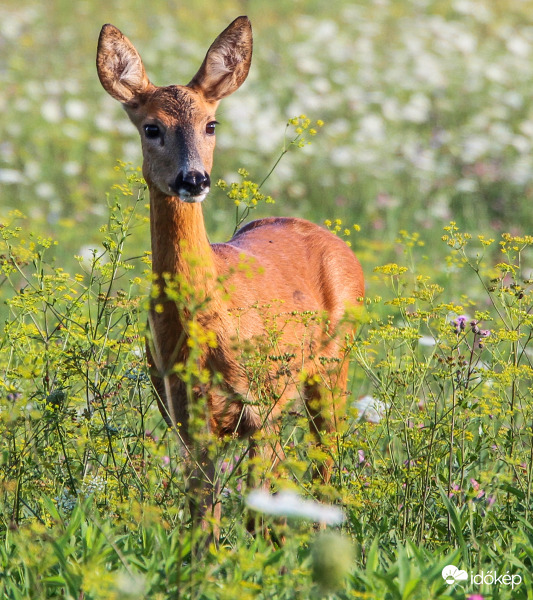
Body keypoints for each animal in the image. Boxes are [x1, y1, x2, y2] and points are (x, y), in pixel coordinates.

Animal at [95, 16, 364, 536]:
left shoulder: (260, 406)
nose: (194, 179)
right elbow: (204, 520)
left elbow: (258, 515)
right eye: (152, 127)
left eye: (211, 124)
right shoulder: (185, 416)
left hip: (333, 364)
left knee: (324, 468)